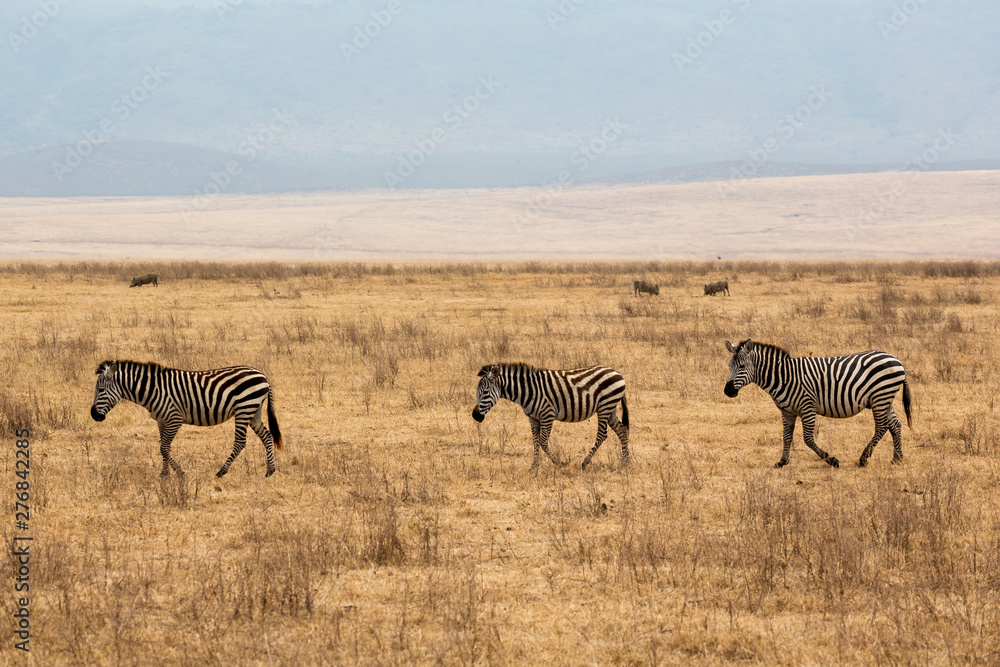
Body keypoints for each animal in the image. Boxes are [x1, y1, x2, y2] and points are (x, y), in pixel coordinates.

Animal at [90, 360, 283, 478]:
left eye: (100, 390)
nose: (93, 415)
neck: (154, 390)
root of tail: (262, 375)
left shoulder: (175, 418)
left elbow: (164, 447)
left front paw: (178, 472)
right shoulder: (161, 420)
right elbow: (164, 447)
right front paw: (165, 474)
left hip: (244, 409)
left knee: (240, 442)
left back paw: (221, 471)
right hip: (253, 411)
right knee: (267, 436)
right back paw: (270, 470)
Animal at [472, 363, 630, 470]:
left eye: (485, 392)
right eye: (478, 392)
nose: (475, 416)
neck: (528, 391)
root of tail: (616, 372)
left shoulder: (548, 415)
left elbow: (543, 442)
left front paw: (560, 463)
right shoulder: (533, 418)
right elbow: (535, 442)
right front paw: (534, 467)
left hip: (604, 406)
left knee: (602, 434)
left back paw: (584, 462)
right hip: (610, 408)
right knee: (622, 430)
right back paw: (626, 461)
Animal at [723, 339, 912, 468]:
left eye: (742, 366)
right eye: (729, 365)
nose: (727, 391)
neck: (784, 377)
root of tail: (896, 359)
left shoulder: (808, 406)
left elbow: (807, 439)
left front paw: (832, 459)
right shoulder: (787, 411)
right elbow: (786, 437)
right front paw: (783, 461)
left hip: (880, 397)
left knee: (881, 427)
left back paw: (864, 458)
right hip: (884, 399)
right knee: (895, 424)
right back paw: (897, 458)